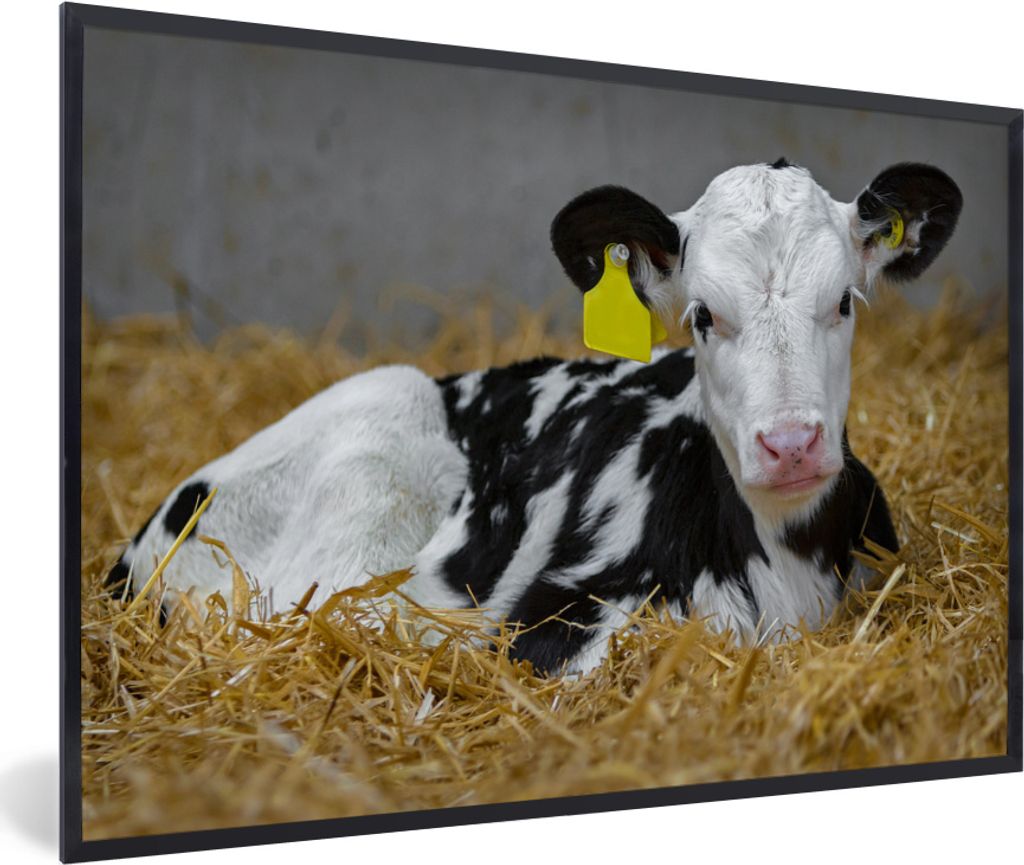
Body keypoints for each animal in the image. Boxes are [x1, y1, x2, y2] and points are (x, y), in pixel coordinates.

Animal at [106, 159, 962, 675]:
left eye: (844, 301)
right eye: (701, 315)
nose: (790, 443)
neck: (782, 564)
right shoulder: (558, 615)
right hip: (377, 437)